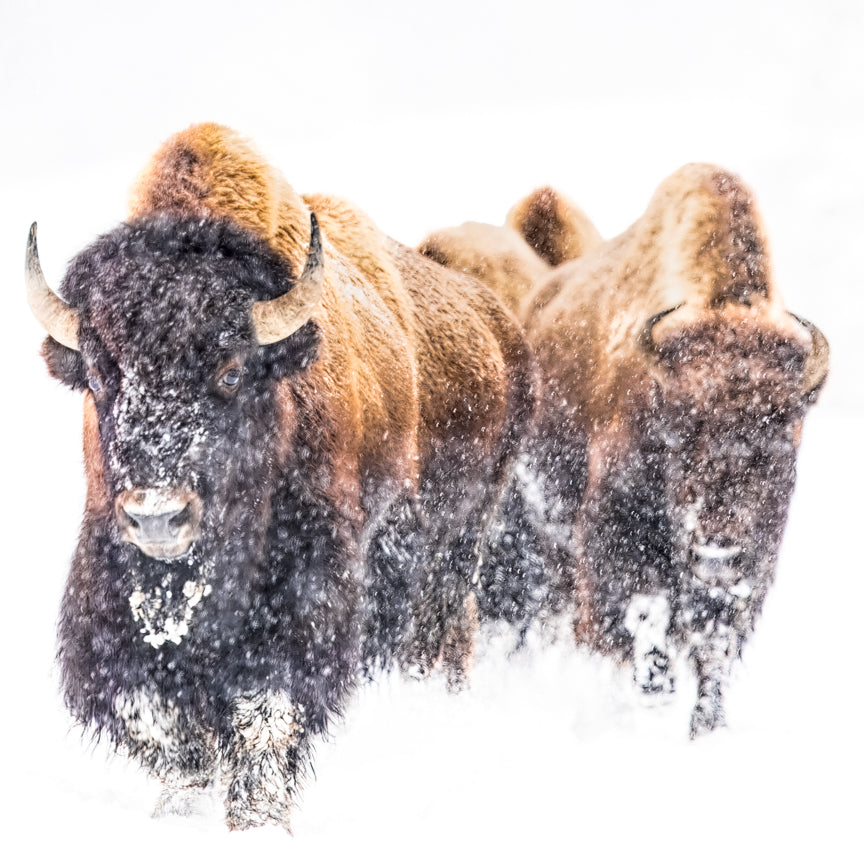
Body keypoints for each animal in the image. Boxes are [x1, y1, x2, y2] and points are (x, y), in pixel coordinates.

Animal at [30, 123, 536, 832]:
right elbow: (162, 720)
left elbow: (268, 711)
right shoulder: (110, 578)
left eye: (232, 372)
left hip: (459, 540)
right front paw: (181, 809)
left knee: (434, 634)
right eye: (102, 377)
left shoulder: (306, 585)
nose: (158, 516)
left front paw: (259, 819)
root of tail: (502, 333)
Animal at [418, 167, 832, 736]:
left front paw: (706, 727)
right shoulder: (615, 544)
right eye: (681, 436)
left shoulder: (750, 568)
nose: (717, 551)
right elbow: (637, 631)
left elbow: (713, 650)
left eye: (779, 436)